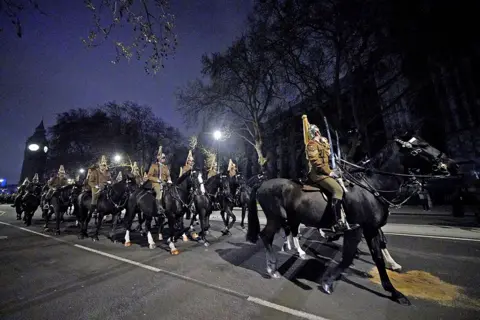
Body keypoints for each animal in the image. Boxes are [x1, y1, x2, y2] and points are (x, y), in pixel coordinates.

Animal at [246, 135, 460, 304]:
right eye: (420, 148)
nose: (453, 164)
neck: (372, 186)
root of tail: (262, 184)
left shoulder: (371, 229)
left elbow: (377, 256)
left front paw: (394, 291)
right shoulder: (357, 229)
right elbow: (348, 257)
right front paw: (327, 281)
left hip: (289, 218)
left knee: (283, 234)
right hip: (276, 218)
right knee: (266, 236)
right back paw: (273, 268)